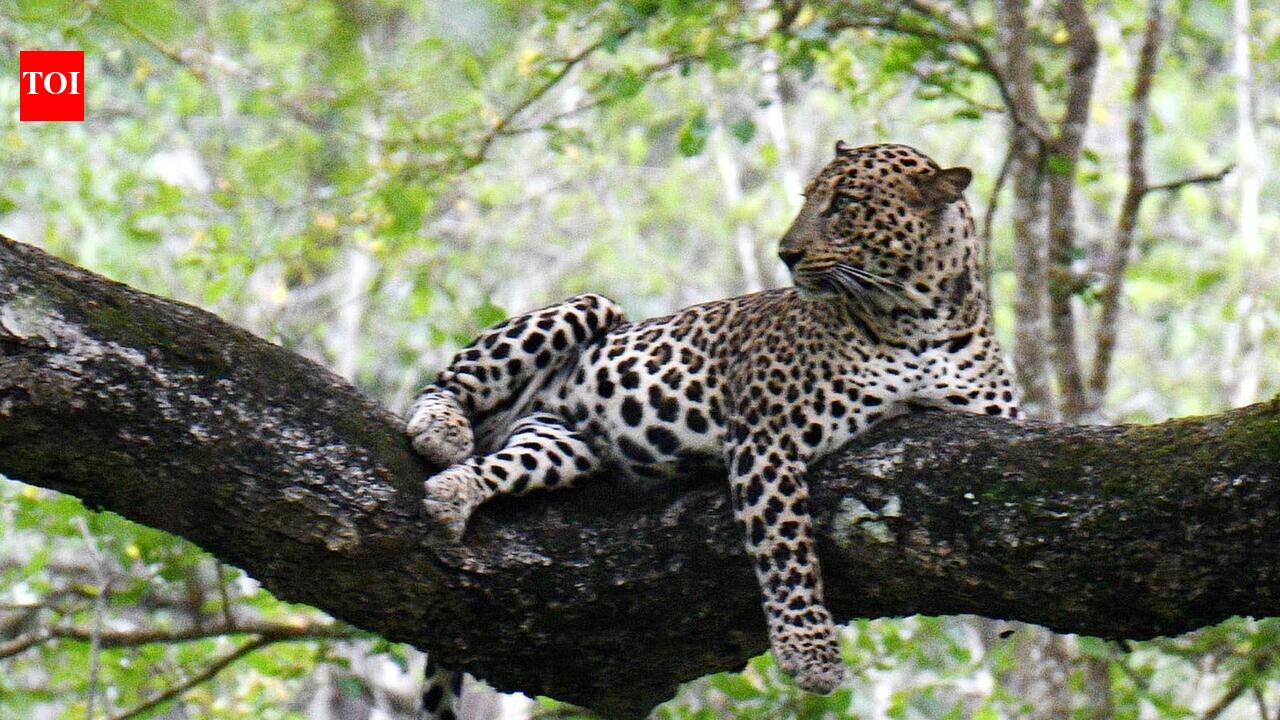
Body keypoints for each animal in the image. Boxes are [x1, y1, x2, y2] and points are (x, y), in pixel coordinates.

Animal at [407, 142, 1020, 719]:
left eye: (844, 203)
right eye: (809, 198)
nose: (786, 254)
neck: (920, 320)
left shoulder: (995, 426)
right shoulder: (766, 435)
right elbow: (787, 548)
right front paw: (810, 654)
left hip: (561, 442)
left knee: (501, 462)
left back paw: (454, 492)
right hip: (588, 308)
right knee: (448, 382)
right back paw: (441, 429)